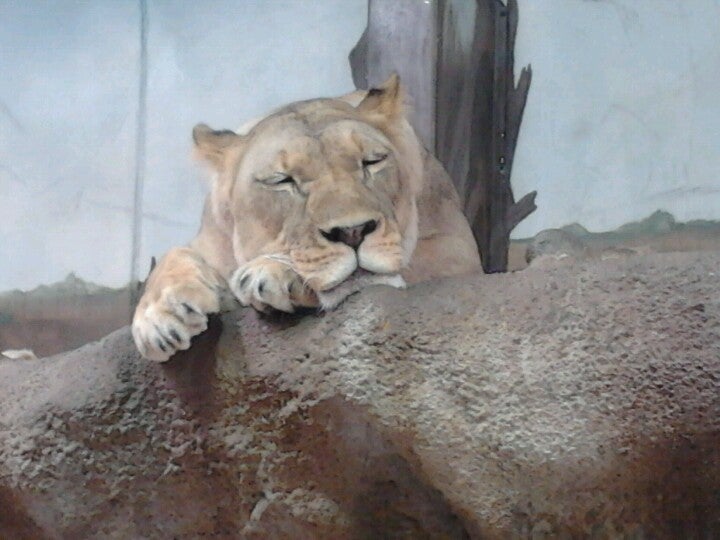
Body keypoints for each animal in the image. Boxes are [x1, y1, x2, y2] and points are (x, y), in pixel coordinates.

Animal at [132, 74, 482, 361]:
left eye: (372, 161)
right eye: (281, 180)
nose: (353, 232)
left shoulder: (461, 251)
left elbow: (415, 262)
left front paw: (277, 273)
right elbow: (173, 255)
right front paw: (162, 315)